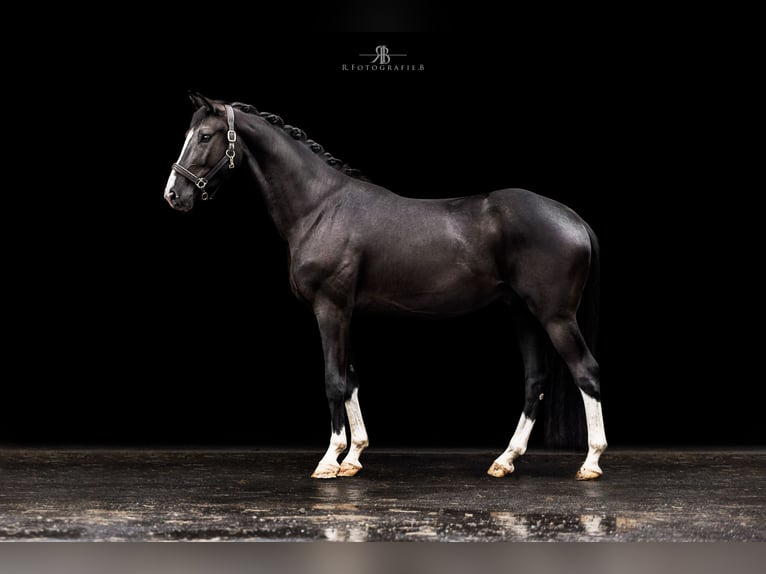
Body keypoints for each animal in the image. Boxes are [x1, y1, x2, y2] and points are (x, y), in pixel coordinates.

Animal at [163, 92, 607, 481]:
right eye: (188, 135)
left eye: (205, 136)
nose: (173, 194)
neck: (321, 206)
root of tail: (575, 220)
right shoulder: (345, 313)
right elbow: (351, 381)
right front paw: (353, 456)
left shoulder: (330, 309)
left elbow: (333, 381)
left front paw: (329, 460)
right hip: (523, 313)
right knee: (536, 381)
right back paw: (505, 460)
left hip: (555, 316)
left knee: (586, 372)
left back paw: (590, 463)